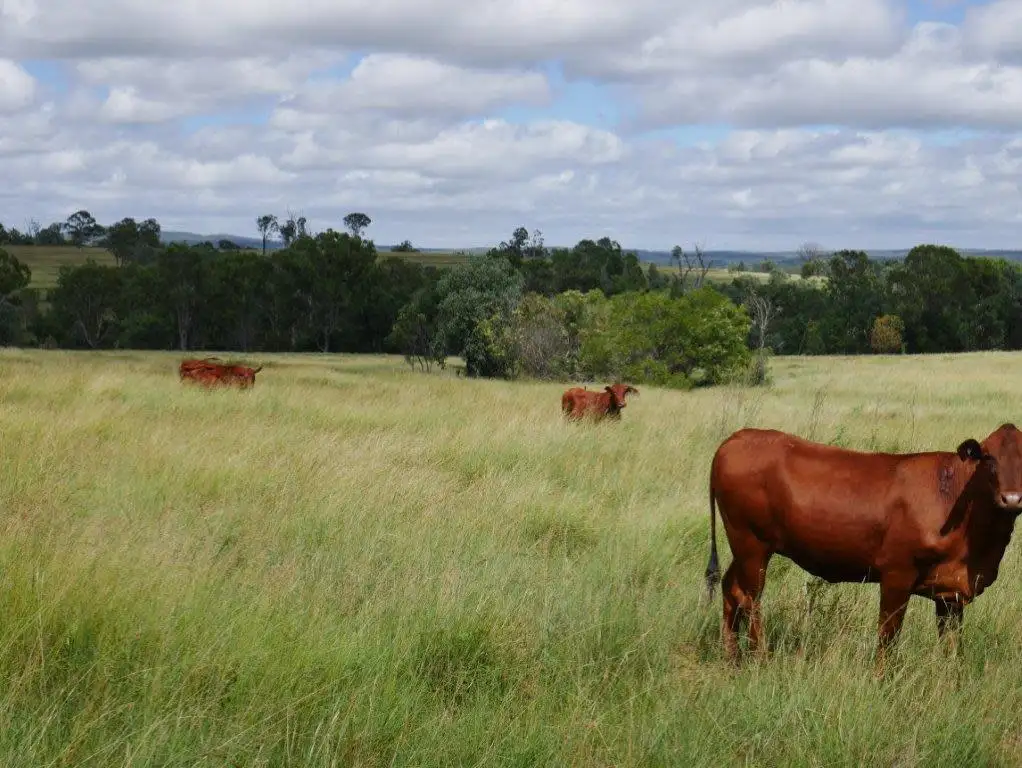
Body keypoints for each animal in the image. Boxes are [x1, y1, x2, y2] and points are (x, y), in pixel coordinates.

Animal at [705, 424, 1022, 664]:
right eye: (988, 458)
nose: (1012, 499)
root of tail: (736, 438)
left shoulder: (950, 591)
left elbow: (951, 647)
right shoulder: (897, 573)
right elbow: (888, 635)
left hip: (742, 547)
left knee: (731, 589)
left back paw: (732, 659)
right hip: (751, 543)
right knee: (750, 599)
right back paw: (759, 660)